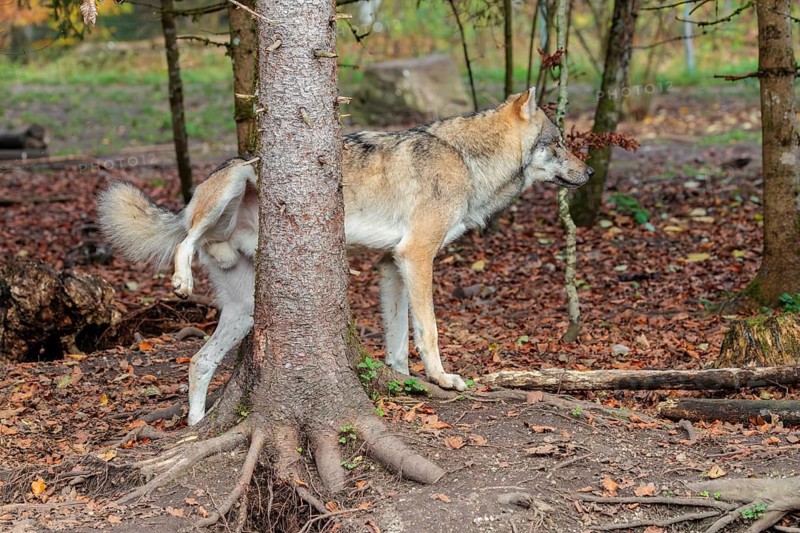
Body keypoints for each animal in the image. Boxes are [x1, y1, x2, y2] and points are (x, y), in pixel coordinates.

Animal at [98, 88, 592, 425]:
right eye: (560, 142)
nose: (588, 172)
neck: (466, 160)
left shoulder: (392, 264)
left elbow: (397, 342)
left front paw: (406, 383)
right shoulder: (417, 256)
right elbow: (428, 331)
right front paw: (443, 379)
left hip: (245, 312)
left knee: (199, 362)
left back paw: (198, 427)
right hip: (235, 182)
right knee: (185, 239)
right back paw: (181, 280)